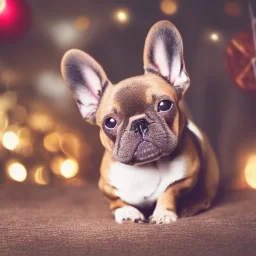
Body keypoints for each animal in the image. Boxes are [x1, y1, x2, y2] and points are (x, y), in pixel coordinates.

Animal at [61, 20, 219, 224]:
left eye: (164, 105)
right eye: (110, 122)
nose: (139, 123)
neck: (146, 167)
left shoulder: (186, 177)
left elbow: (169, 191)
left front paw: (163, 213)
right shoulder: (105, 185)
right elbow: (116, 200)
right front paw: (127, 211)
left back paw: (191, 206)